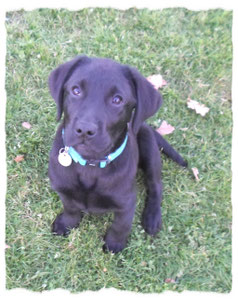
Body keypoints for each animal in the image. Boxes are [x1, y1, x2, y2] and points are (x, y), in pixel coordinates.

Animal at [48, 54, 186, 252]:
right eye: (75, 90)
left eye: (117, 100)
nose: (85, 130)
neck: (90, 164)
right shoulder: (63, 188)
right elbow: (70, 207)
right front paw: (66, 223)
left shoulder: (126, 202)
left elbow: (121, 225)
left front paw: (114, 244)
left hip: (149, 147)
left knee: (155, 186)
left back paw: (152, 218)